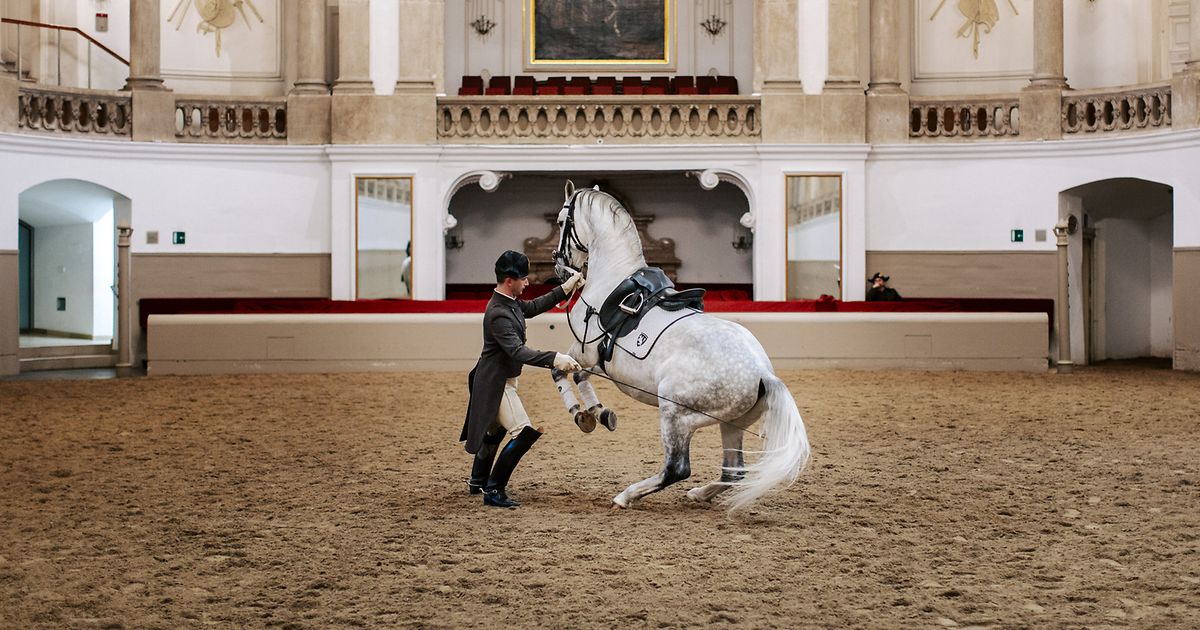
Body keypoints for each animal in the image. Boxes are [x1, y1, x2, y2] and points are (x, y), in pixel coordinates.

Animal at [549, 182, 811, 510]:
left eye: (561, 221)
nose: (559, 268)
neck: (611, 281)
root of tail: (763, 373)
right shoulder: (592, 359)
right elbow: (578, 375)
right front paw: (598, 413)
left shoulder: (583, 351)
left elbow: (561, 371)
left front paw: (583, 415)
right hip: (732, 423)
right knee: (733, 471)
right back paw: (699, 493)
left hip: (676, 415)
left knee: (677, 468)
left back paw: (626, 496)